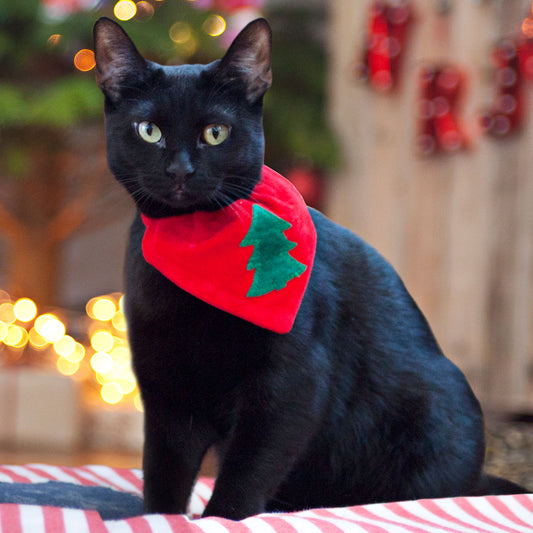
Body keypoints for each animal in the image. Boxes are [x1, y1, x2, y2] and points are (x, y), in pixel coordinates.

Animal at [91, 17, 524, 520]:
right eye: (148, 130)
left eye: (216, 132)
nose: (180, 170)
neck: (195, 246)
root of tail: (479, 479)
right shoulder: (165, 383)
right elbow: (163, 473)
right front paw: (158, 518)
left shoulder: (292, 384)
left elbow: (246, 472)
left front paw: (219, 519)